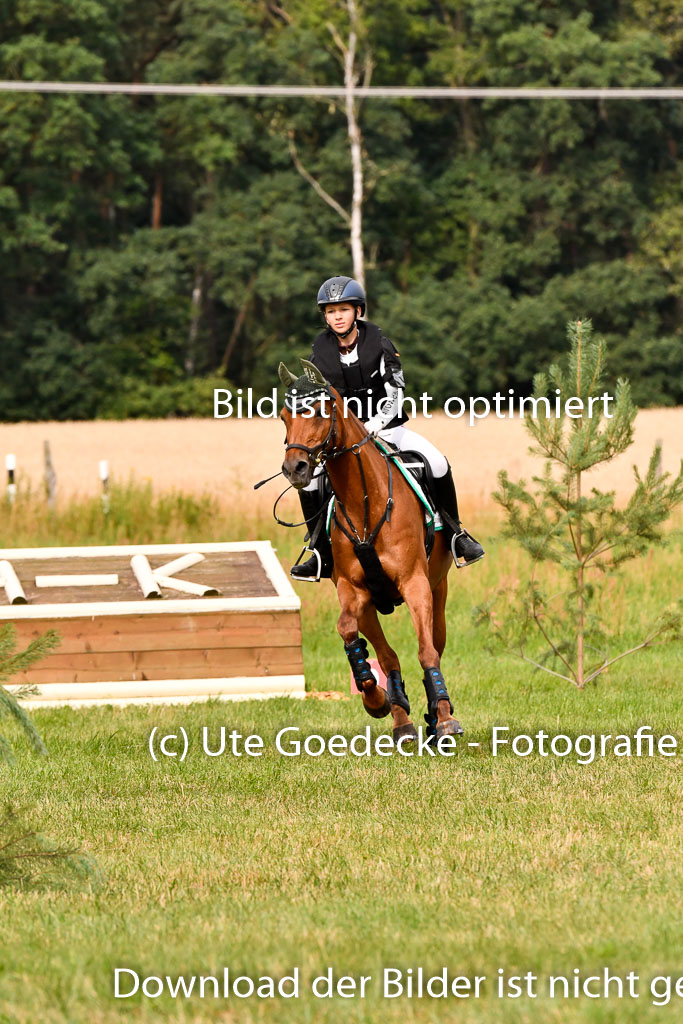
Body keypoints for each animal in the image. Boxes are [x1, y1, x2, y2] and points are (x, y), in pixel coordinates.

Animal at [278, 362, 464, 745]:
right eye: (284, 417)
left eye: (320, 411)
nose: (295, 468)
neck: (365, 501)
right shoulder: (353, 590)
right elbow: (352, 633)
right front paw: (375, 698)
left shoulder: (415, 583)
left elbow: (426, 650)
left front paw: (444, 718)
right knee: (387, 655)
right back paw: (401, 718)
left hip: (438, 587)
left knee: (435, 645)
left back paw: (437, 715)